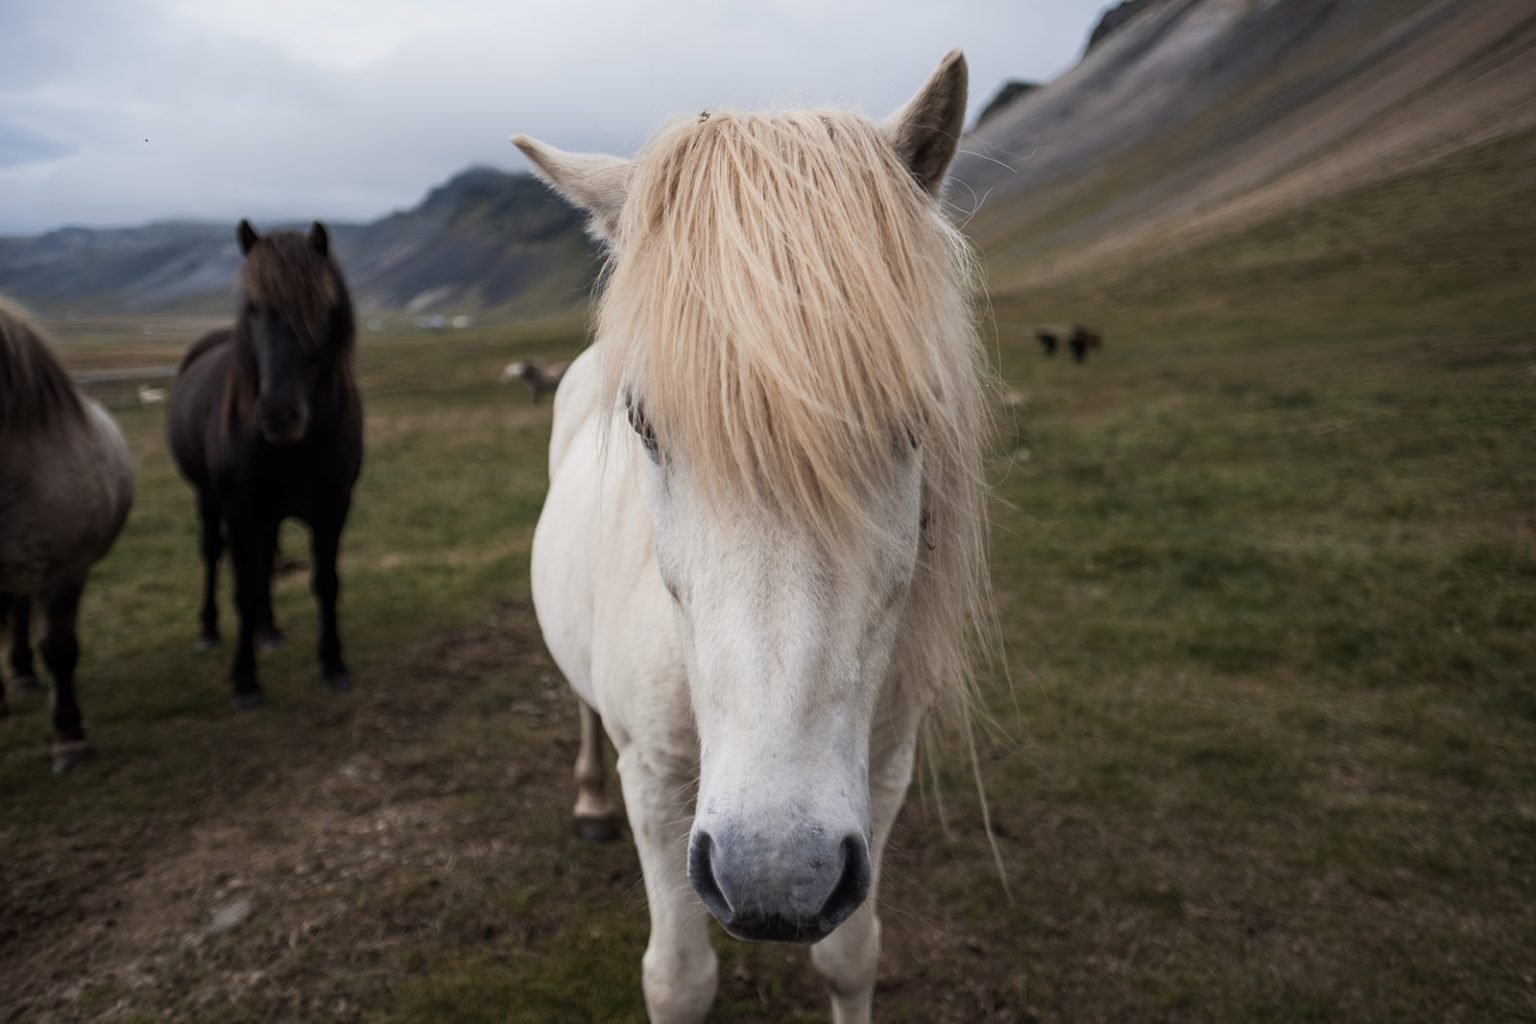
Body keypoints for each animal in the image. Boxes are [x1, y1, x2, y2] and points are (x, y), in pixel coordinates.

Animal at [167, 221, 364, 709]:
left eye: (321, 308)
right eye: (253, 308)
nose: (277, 414)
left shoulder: (333, 508)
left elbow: (325, 582)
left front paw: (334, 664)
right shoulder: (241, 510)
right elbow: (242, 586)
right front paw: (245, 681)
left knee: (264, 561)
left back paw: (269, 629)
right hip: (209, 499)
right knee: (214, 554)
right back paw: (209, 629)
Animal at [517, 49, 990, 1023]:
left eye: (914, 422)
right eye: (643, 425)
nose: (778, 875)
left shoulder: (882, 777)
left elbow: (851, 957)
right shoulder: (657, 785)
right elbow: (679, 979)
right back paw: (586, 802)